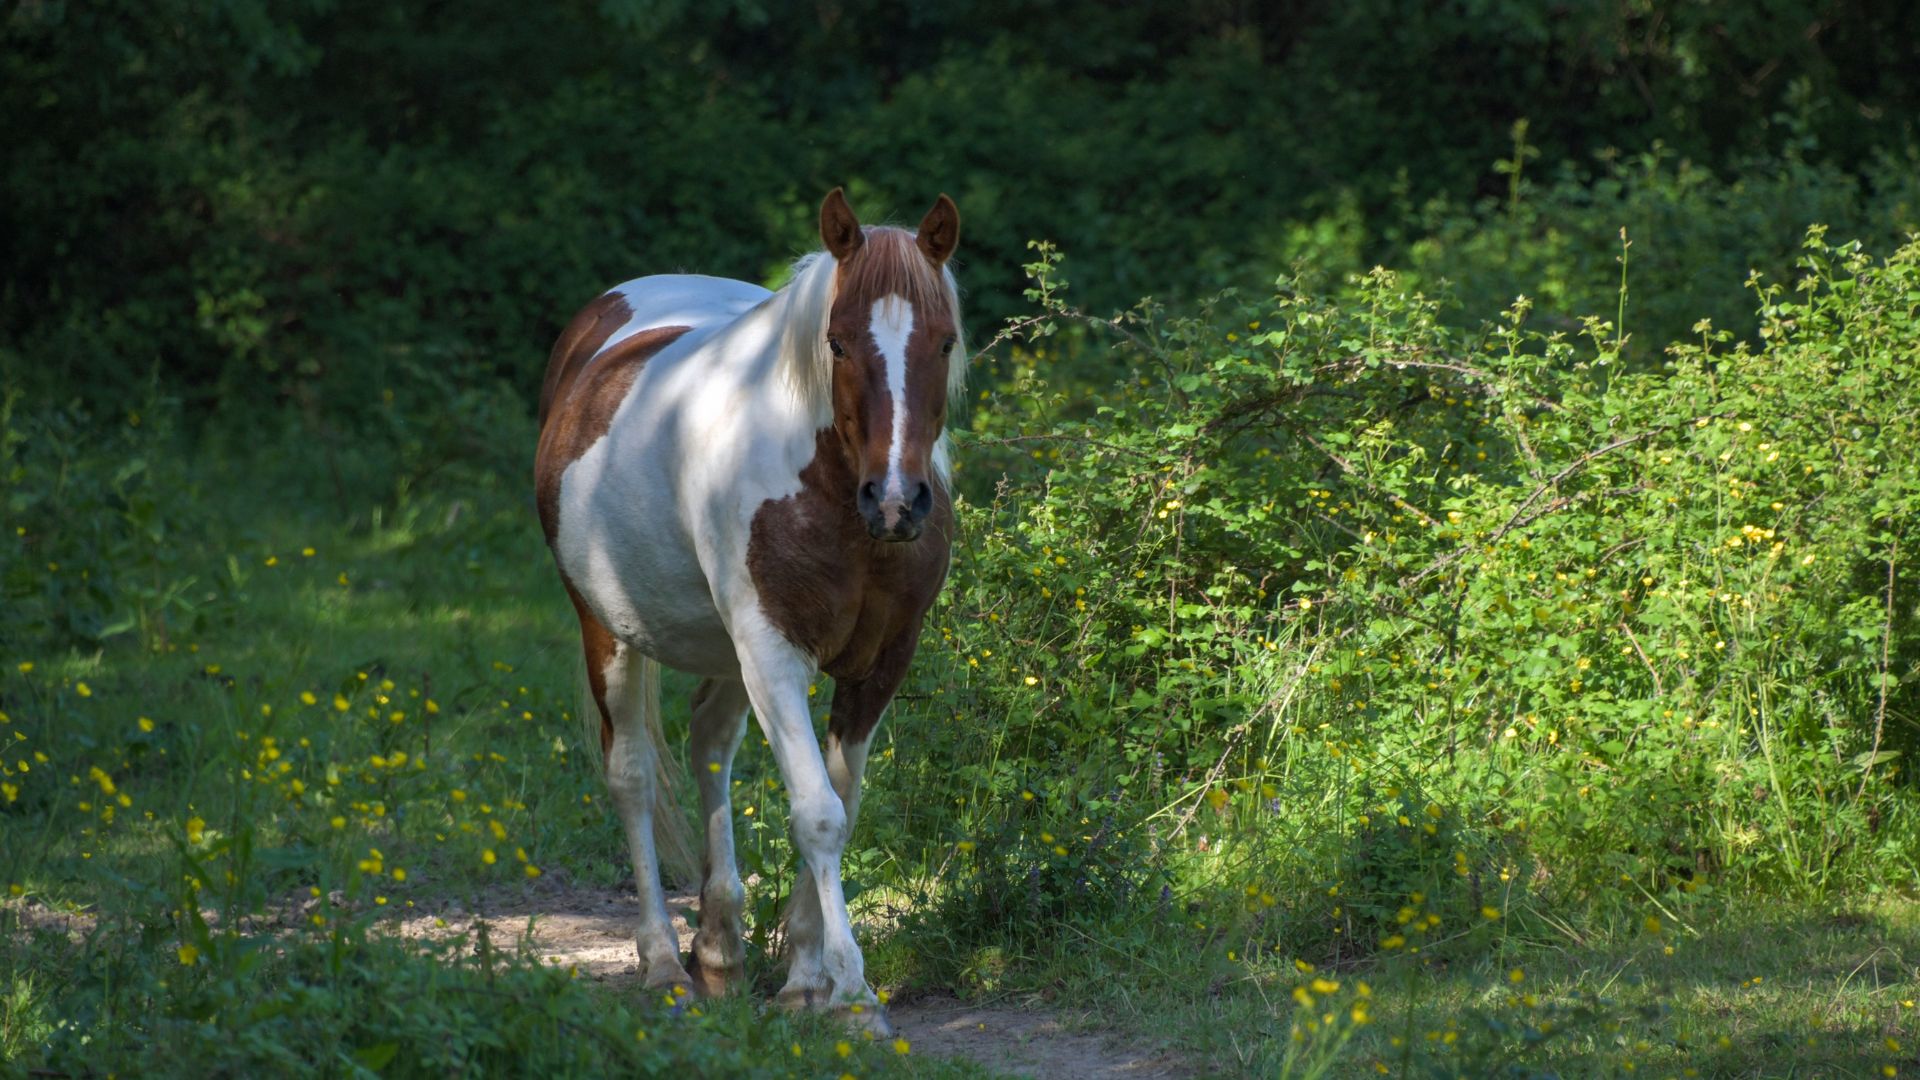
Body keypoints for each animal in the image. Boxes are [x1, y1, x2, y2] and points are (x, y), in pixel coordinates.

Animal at [537, 189, 960, 1030]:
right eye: (837, 342)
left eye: (946, 341)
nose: (898, 502)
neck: (831, 495)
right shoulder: (773, 653)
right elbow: (818, 812)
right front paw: (852, 995)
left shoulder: (880, 663)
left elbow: (841, 806)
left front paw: (804, 978)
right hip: (609, 632)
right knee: (632, 776)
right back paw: (666, 965)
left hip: (724, 651)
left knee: (709, 747)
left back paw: (720, 951)